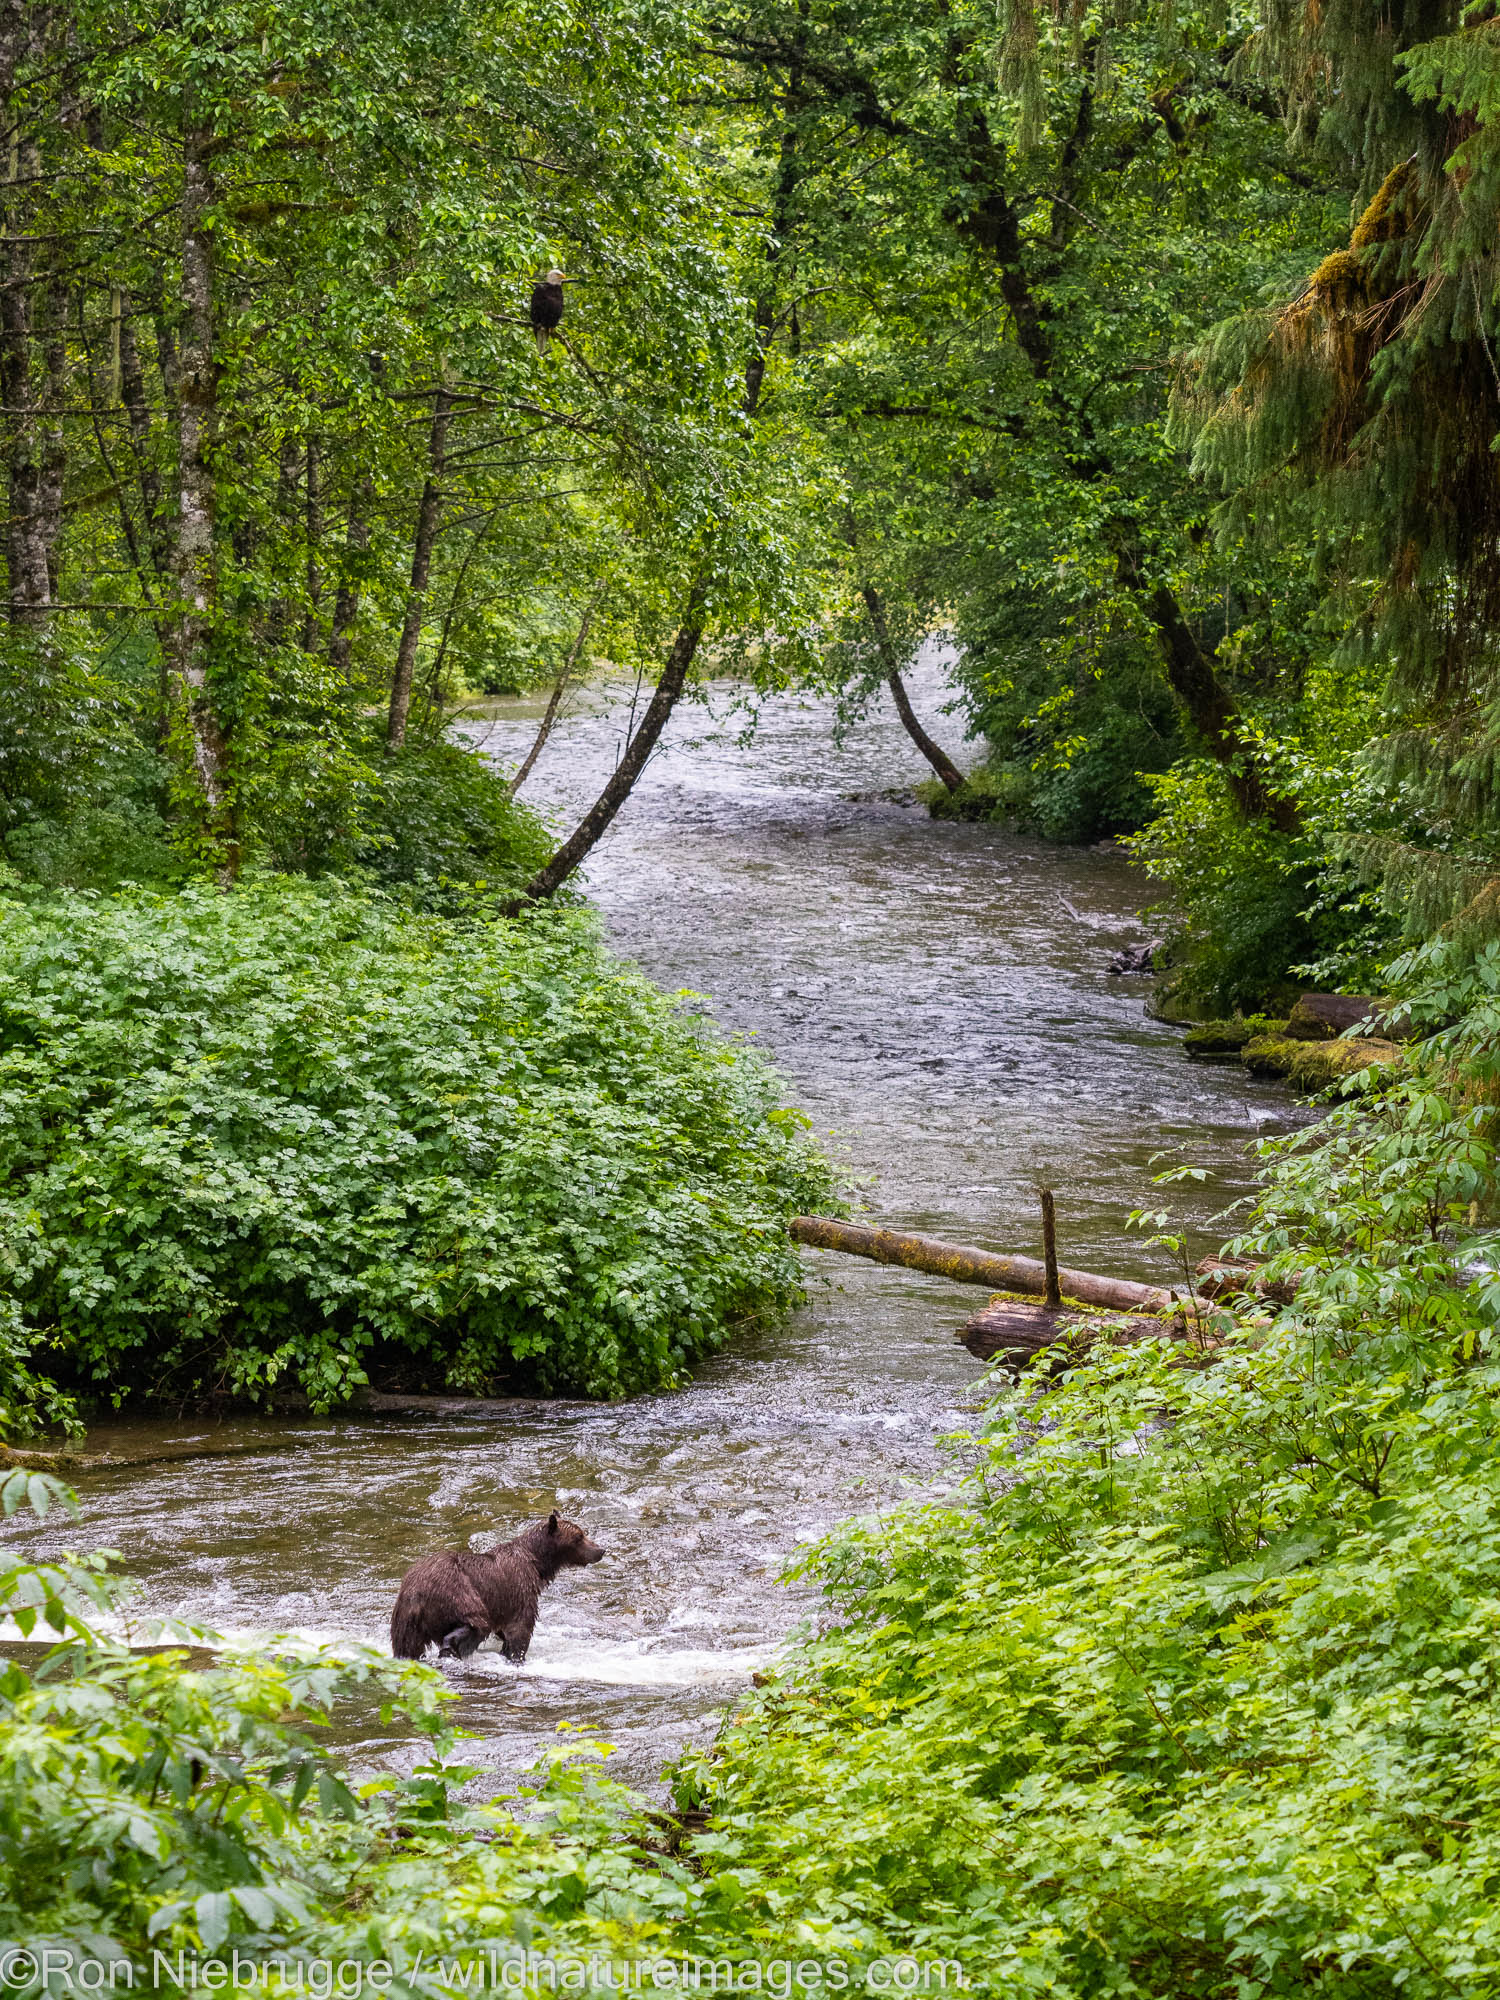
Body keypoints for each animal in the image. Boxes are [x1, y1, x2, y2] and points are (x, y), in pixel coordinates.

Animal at [390, 1504, 608, 1664]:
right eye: (579, 1537)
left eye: (583, 1533)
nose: (601, 1550)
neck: (537, 1562)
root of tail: (416, 1593)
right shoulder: (519, 1587)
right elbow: (520, 1628)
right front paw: (516, 1656)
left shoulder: (503, 1604)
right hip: (456, 1592)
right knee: (476, 1623)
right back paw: (450, 1646)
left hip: (405, 1619)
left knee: (407, 1646)